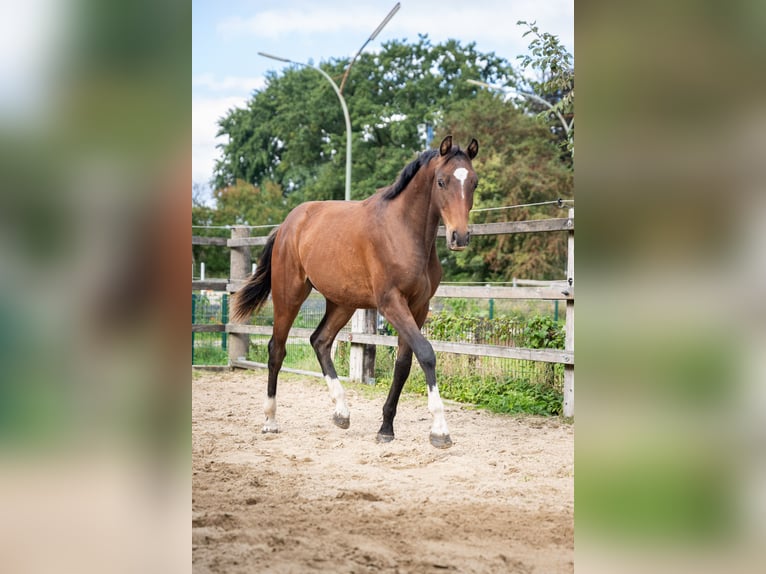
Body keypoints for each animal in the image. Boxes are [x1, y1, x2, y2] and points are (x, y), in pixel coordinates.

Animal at [232, 135, 479, 448]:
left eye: (474, 182)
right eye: (442, 181)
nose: (460, 237)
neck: (403, 232)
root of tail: (287, 224)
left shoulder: (419, 306)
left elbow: (403, 363)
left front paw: (386, 428)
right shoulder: (391, 303)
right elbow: (426, 353)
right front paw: (440, 431)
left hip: (342, 303)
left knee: (320, 341)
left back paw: (341, 412)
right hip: (289, 294)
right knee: (277, 349)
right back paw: (271, 421)